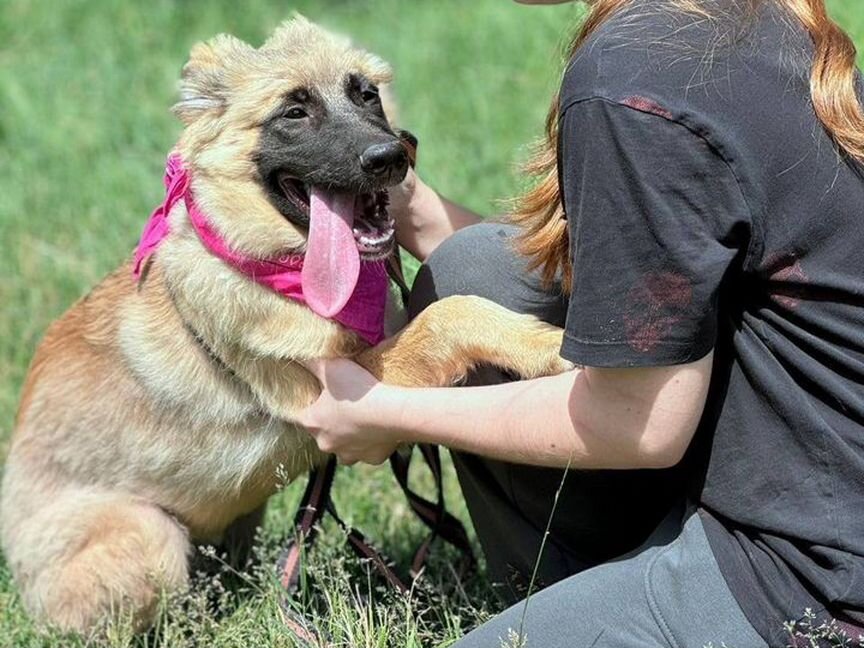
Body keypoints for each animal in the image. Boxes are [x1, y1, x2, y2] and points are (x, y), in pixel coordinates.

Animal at [0, 16, 572, 632]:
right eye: (294, 112)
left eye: (366, 95)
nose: (390, 156)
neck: (274, 263)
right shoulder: (334, 387)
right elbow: (449, 314)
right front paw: (549, 344)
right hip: (149, 537)